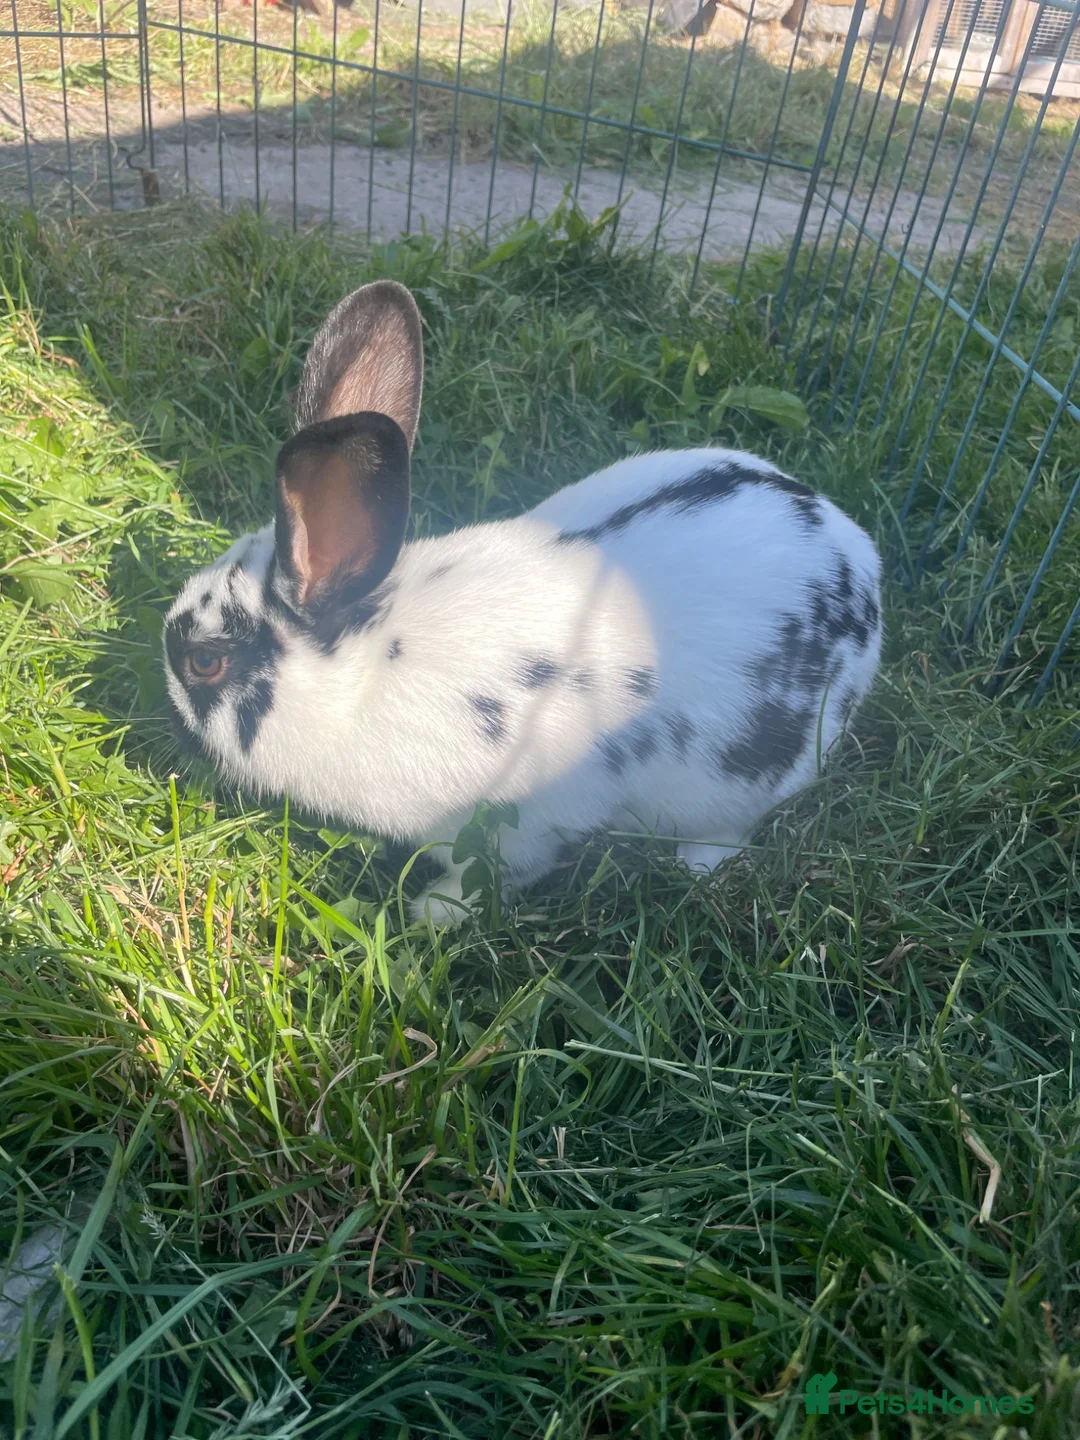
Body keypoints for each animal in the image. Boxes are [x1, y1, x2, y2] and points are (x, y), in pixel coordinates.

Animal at [164, 280, 882, 925]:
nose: (164, 697)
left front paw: (430, 914)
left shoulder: (519, 828)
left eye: (205, 663)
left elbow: (490, 876)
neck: (363, 680)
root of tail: (859, 558)